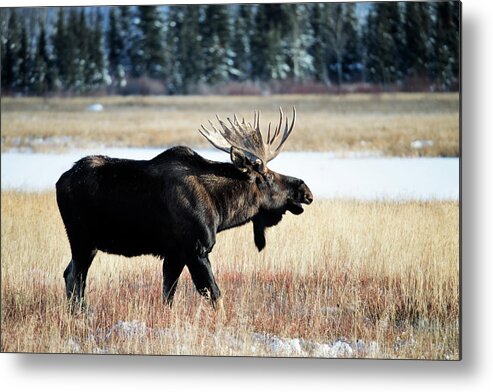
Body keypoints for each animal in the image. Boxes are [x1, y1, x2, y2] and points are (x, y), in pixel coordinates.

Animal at [56, 107, 312, 310]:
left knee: (70, 274)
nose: (305, 189)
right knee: (76, 277)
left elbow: (168, 295)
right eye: (267, 176)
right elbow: (214, 295)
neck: (222, 210)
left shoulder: (174, 253)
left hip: (87, 243)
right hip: (81, 238)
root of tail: (60, 181)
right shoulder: (196, 248)